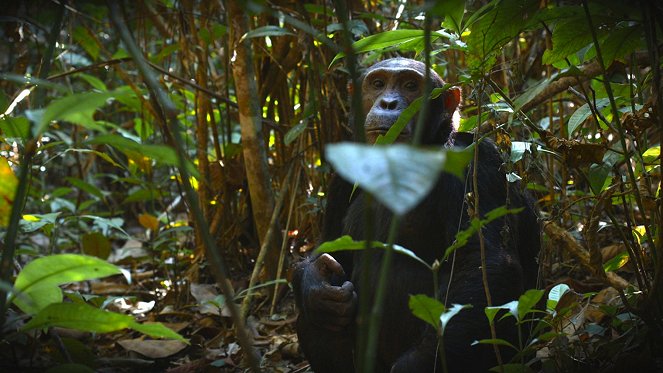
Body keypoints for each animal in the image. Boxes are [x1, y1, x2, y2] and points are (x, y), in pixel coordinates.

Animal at [294, 58, 544, 372]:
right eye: (377, 83)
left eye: (410, 86)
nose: (388, 103)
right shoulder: (340, 177)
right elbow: (330, 245)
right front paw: (317, 286)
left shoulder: (478, 164)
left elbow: (485, 261)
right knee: (315, 320)